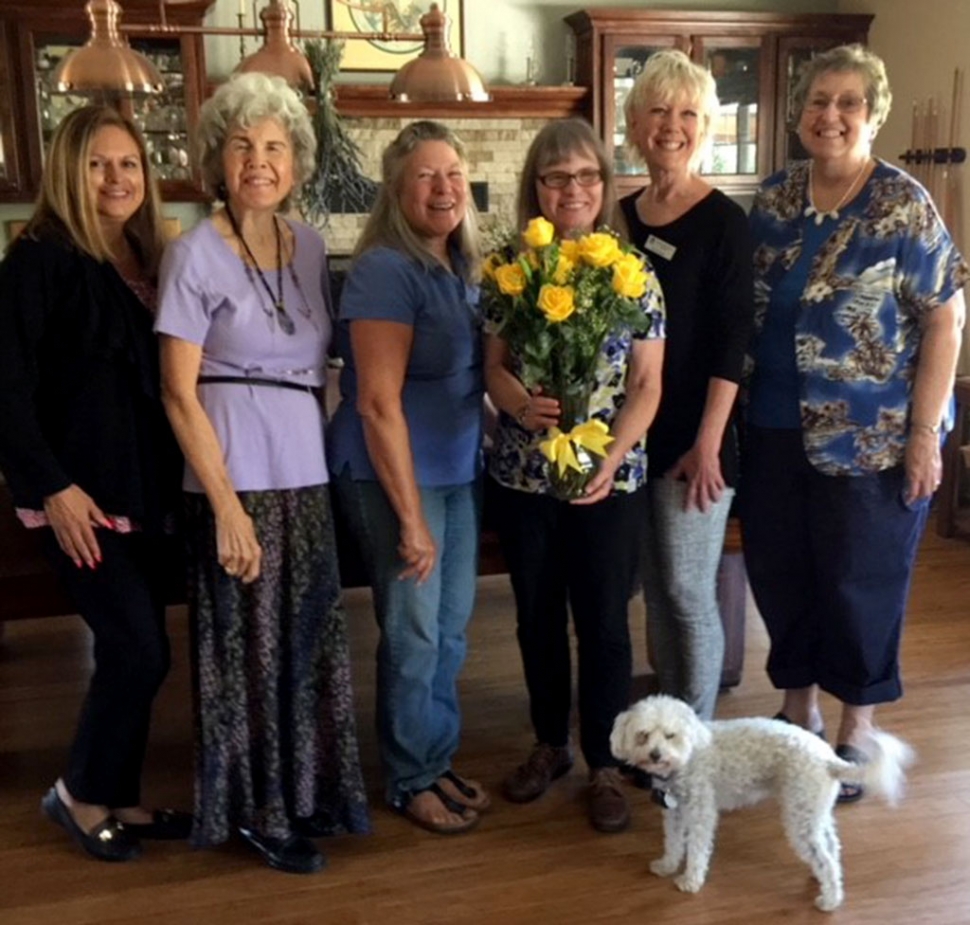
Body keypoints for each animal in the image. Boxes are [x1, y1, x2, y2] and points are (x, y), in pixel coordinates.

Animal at [608, 696, 912, 904]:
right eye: (643, 735)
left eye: (671, 735)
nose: (656, 754)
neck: (689, 756)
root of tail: (829, 760)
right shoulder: (675, 813)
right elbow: (672, 842)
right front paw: (667, 866)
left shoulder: (700, 813)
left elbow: (696, 849)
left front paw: (690, 880)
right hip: (814, 811)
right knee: (831, 847)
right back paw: (824, 880)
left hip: (800, 817)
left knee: (825, 857)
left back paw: (830, 900)